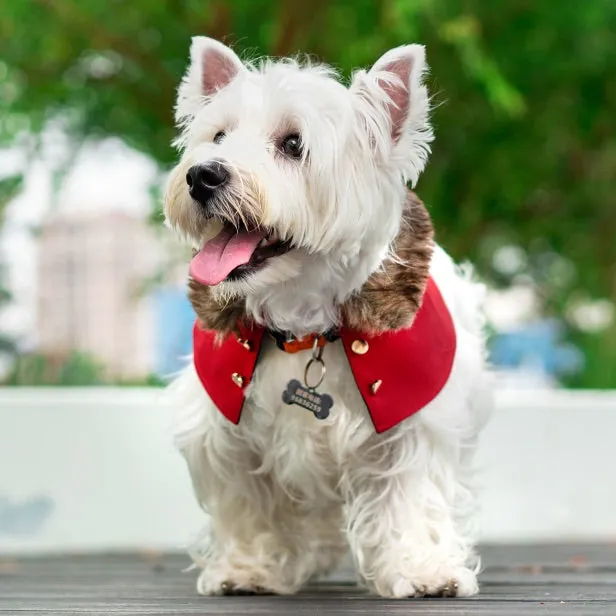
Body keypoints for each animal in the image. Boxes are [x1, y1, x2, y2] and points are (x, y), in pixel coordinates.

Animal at [164, 36, 490, 600]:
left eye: (294, 144)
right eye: (218, 136)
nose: (203, 175)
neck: (304, 327)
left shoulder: (412, 419)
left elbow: (409, 493)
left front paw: (423, 570)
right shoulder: (222, 428)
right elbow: (248, 504)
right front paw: (249, 568)